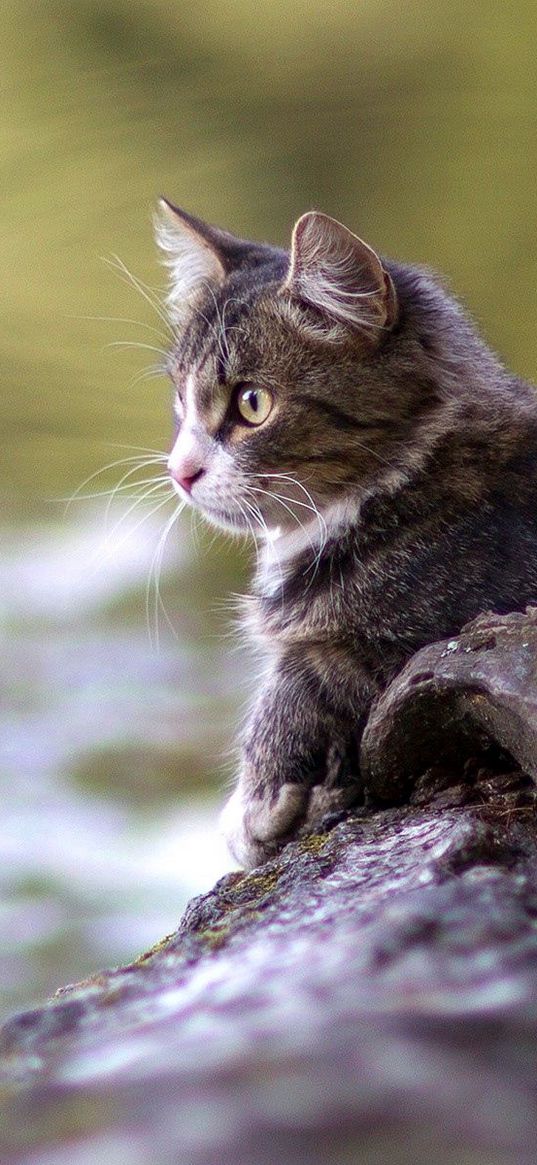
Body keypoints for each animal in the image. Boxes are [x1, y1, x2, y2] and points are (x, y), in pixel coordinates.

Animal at [154, 200, 537, 871]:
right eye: (182, 398)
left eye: (252, 404)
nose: (181, 472)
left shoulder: (431, 634)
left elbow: (301, 677)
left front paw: (252, 812)